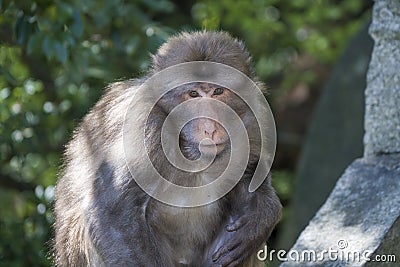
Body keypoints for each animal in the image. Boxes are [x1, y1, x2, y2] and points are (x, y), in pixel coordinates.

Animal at [54, 30, 282, 266]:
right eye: (193, 94)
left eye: (218, 91)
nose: (210, 127)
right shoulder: (144, 128)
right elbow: (112, 214)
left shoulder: (254, 122)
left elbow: (251, 179)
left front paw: (261, 219)